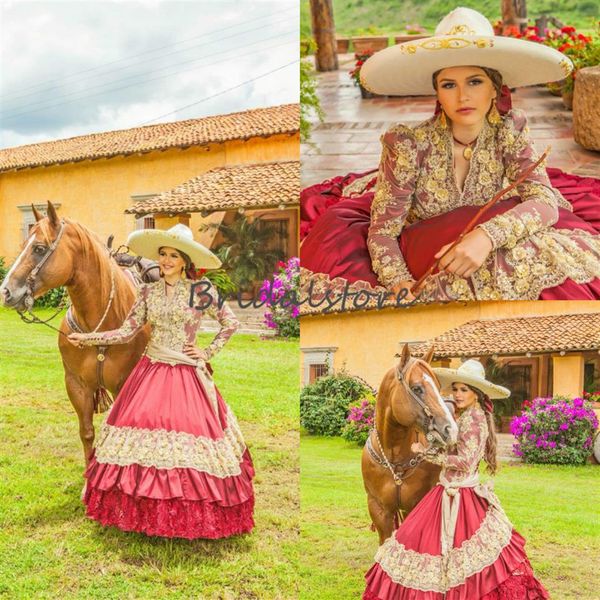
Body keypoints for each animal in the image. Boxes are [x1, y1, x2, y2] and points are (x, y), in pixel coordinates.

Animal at [364, 342, 458, 544]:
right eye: (417, 388)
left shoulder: (414, 505)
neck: (395, 458)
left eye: (438, 386)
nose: (450, 429)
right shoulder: (378, 509)